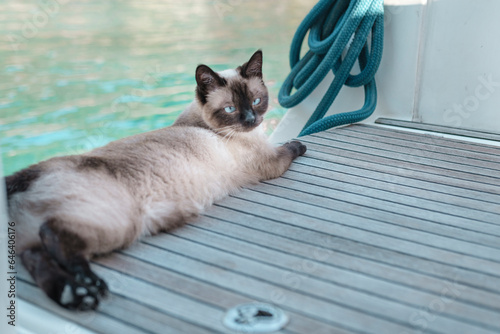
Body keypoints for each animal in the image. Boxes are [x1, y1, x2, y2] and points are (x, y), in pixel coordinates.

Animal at [5, 49, 306, 310]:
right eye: (231, 109)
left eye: (256, 101)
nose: (251, 120)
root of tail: (29, 173)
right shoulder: (271, 163)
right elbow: (290, 149)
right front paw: (299, 144)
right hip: (120, 222)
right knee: (52, 234)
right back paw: (87, 284)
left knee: (33, 254)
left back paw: (74, 295)